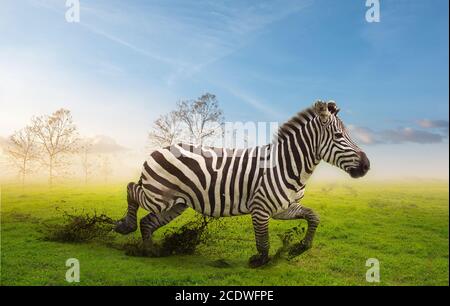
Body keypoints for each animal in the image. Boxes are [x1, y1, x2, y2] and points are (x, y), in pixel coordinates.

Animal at [115, 101, 370, 268]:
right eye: (339, 136)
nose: (367, 165)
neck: (286, 165)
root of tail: (159, 149)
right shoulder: (261, 209)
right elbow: (263, 239)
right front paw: (260, 261)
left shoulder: (284, 208)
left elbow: (314, 217)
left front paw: (301, 247)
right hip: (158, 196)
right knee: (131, 189)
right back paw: (126, 227)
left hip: (175, 203)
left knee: (148, 222)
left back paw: (150, 251)